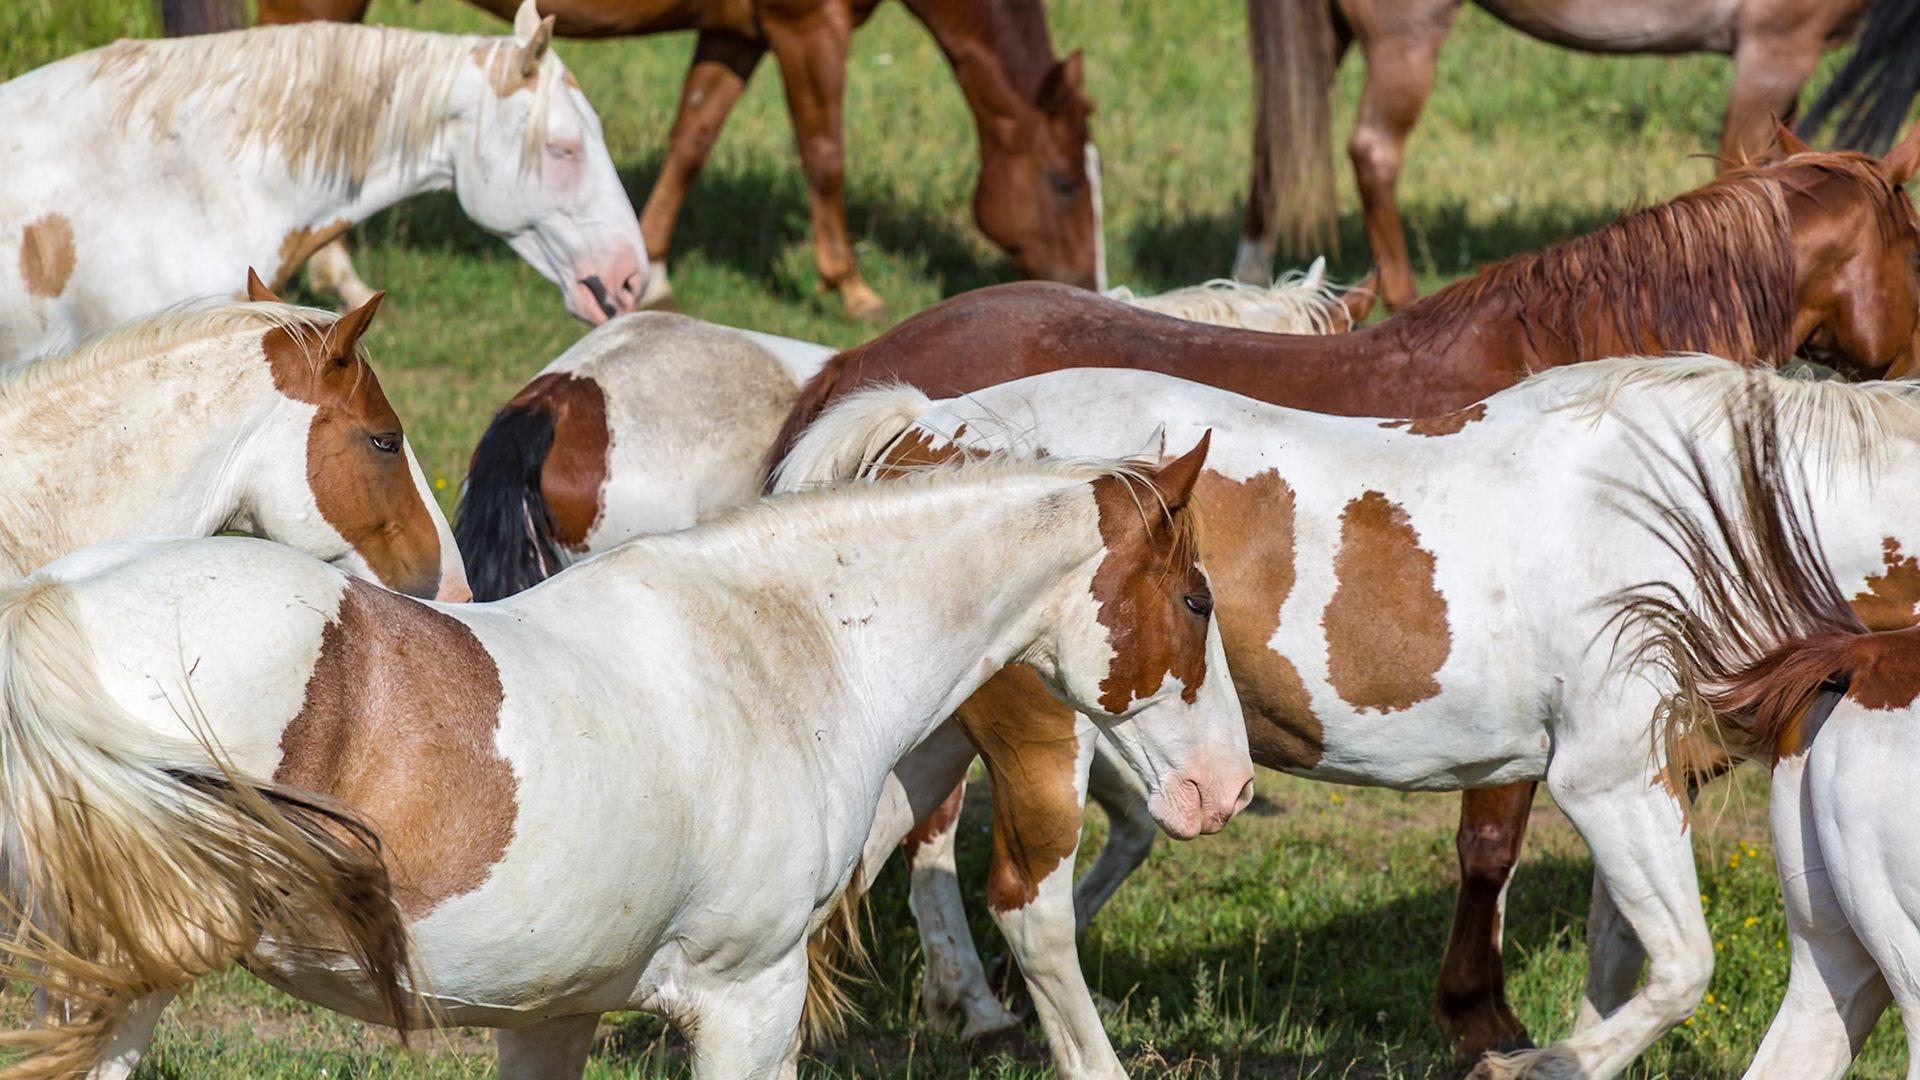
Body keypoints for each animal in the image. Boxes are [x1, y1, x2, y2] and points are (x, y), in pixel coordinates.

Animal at [0, 444, 1252, 1080]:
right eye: (1197, 600)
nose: (1227, 789)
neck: (782, 650)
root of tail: (48, 612)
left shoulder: (549, 1012)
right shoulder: (748, 1002)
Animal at [169, 0, 1103, 323]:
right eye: (1064, 183)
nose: (1091, 285)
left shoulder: (738, 31)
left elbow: (695, 134)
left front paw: (650, 269)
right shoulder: (809, 24)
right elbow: (825, 153)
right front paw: (850, 285)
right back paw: (336, 273)